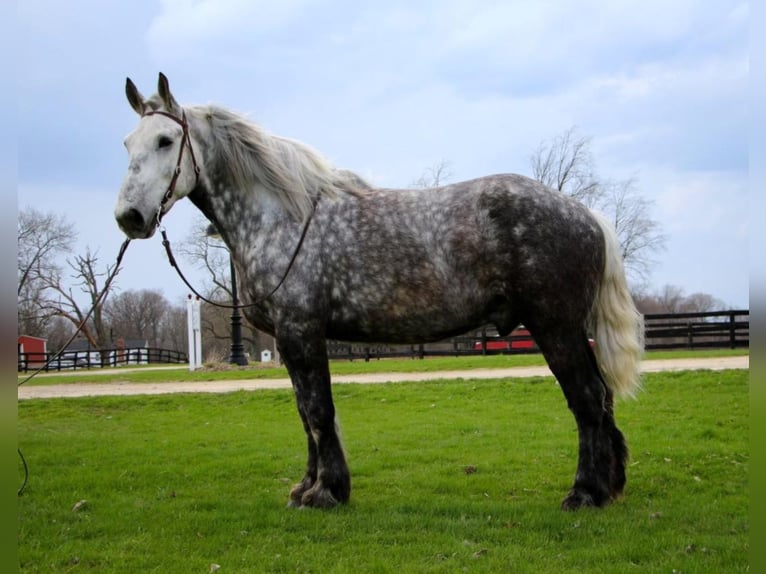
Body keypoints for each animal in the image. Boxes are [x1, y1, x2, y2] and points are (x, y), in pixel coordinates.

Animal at [114, 73, 640, 512]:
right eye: (127, 143)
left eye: (166, 141)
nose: (129, 217)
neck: (284, 217)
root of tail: (585, 214)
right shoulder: (290, 341)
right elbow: (305, 414)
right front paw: (306, 487)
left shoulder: (301, 333)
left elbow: (318, 411)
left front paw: (326, 492)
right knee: (602, 399)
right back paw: (608, 486)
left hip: (555, 327)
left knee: (588, 398)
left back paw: (584, 493)